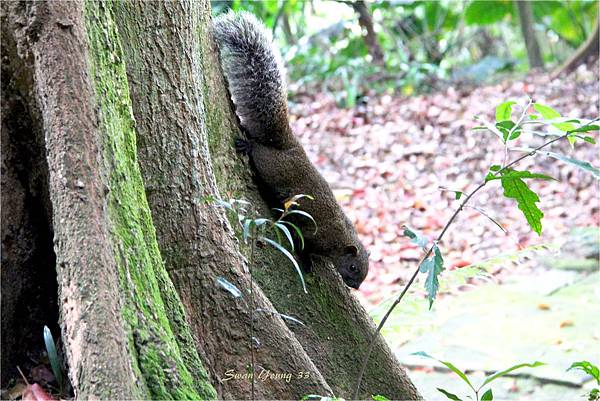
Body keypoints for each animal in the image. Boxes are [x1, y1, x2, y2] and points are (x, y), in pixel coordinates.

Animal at [211, 10, 370, 290]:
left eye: (364, 273)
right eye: (352, 267)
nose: (355, 286)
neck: (341, 238)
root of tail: (289, 145)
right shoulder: (314, 233)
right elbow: (301, 244)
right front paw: (306, 262)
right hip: (270, 165)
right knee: (259, 153)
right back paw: (249, 146)